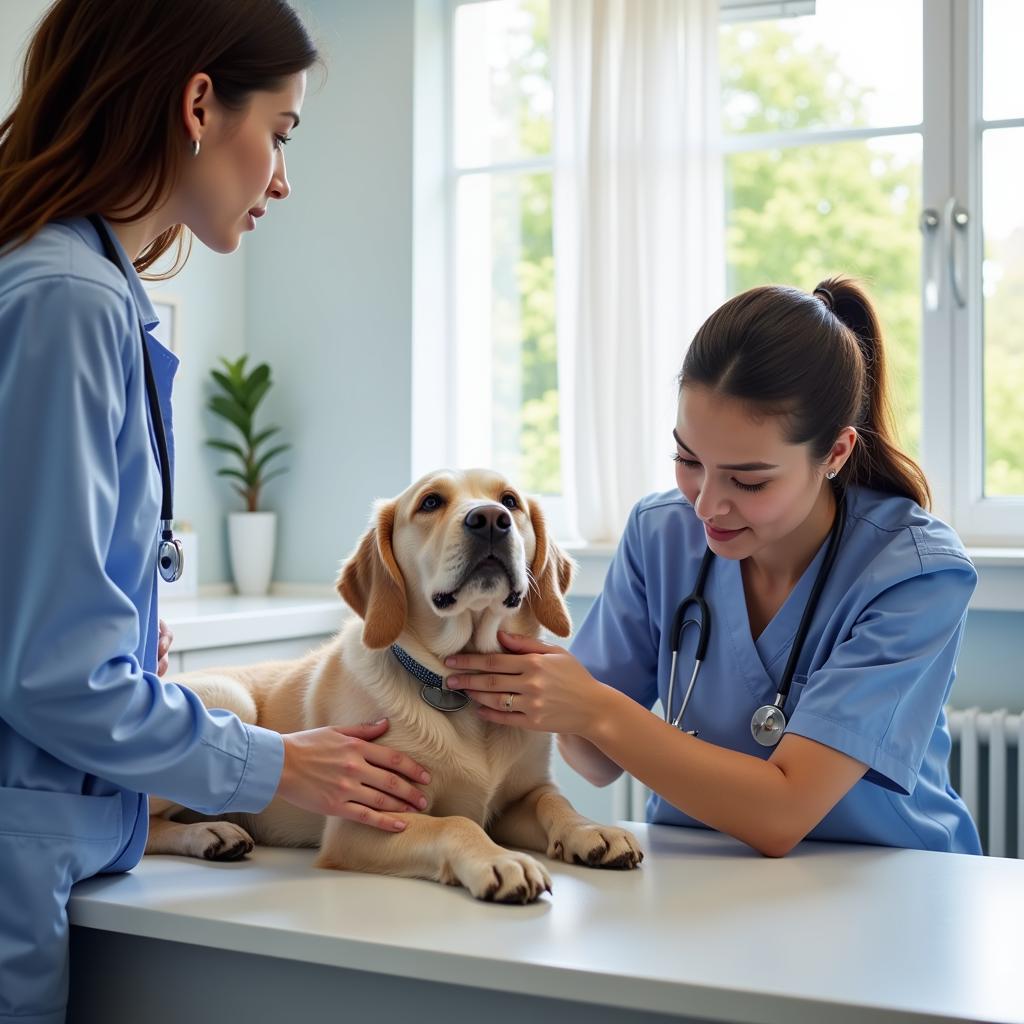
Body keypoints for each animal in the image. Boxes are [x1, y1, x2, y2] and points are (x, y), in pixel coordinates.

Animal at [146, 471, 638, 905]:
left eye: (511, 501)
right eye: (431, 502)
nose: (490, 519)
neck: (458, 689)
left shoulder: (522, 795)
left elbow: (553, 803)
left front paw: (592, 829)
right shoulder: (364, 821)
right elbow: (454, 823)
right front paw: (500, 861)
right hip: (232, 700)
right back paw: (209, 833)